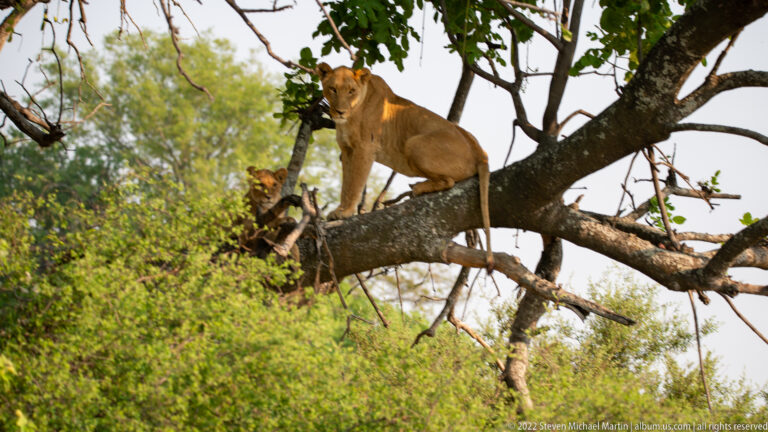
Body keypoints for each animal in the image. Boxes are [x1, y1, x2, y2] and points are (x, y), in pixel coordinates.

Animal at [316, 63, 493, 269]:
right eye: (333, 89)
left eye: (351, 91)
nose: (340, 111)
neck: (352, 115)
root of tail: (481, 152)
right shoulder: (346, 150)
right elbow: (346, 185)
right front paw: (340, 210)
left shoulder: (365, 148)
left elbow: (355, 185)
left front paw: (345, 213)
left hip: (414, 143)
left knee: (449, 181)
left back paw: (418, 188)